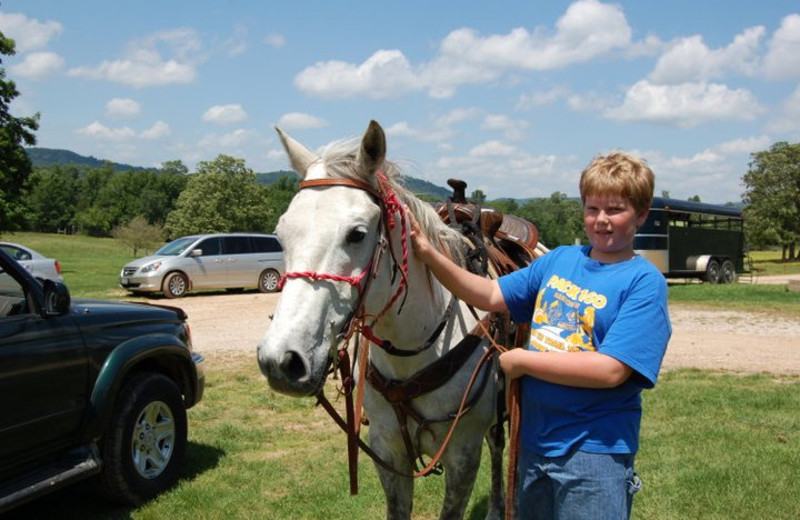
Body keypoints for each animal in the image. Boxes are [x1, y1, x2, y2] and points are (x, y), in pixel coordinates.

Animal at [256, 121, 506, 520]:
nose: (280, 360)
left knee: (498, 447)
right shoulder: (387, 452)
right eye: (281, 234)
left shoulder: (463, 455)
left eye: (357, 233)